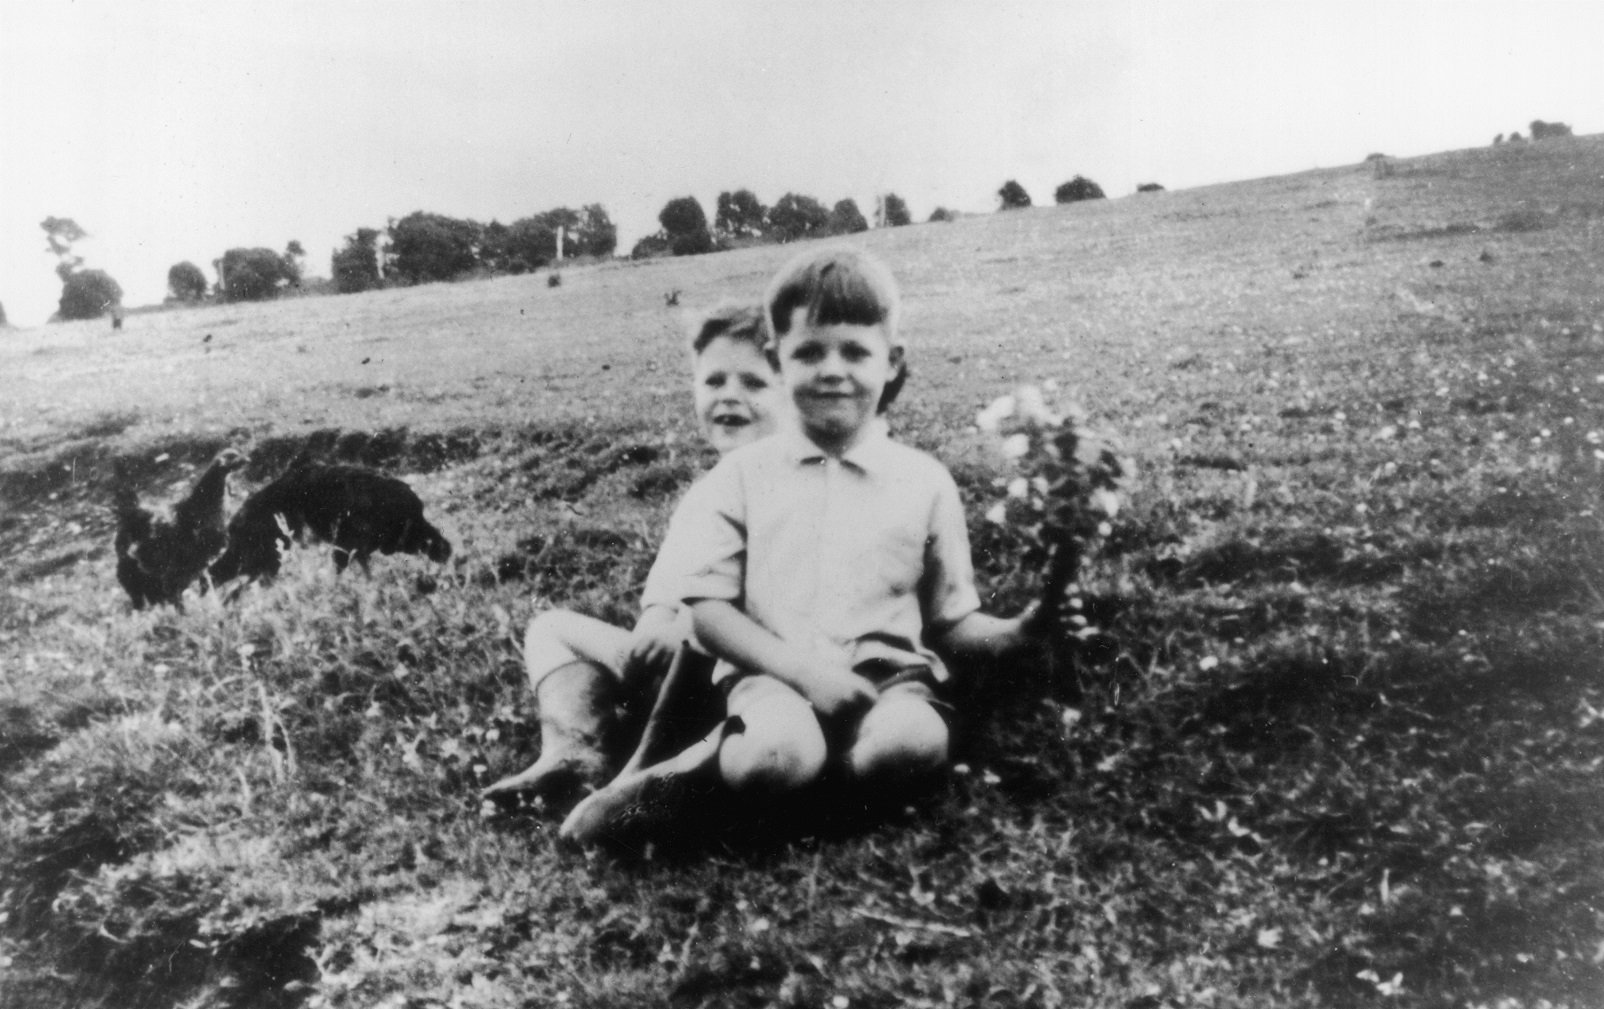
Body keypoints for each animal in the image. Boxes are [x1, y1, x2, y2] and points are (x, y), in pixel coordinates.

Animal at [208, 461, 452, 587]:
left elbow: (366, 571)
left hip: (262, 557)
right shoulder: (346, 545)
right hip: (264, 555)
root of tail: (239, 517)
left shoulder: (358, 549)